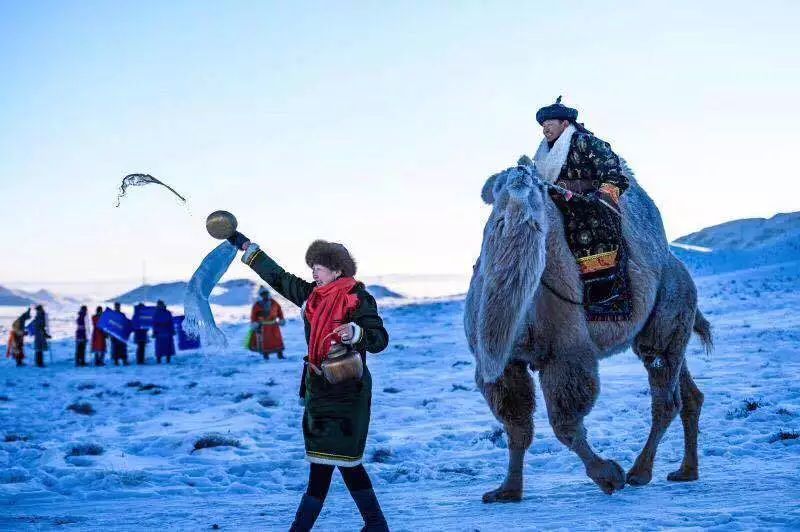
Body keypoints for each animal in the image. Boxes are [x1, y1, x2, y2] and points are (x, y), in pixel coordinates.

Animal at [462, 160, 712, 500]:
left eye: (538, 193)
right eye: (497, 212)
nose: (522, 174)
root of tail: (679, 267)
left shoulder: (566, 354)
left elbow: (565, 425)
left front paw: (609, 476)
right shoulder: (504, 365)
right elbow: (517, 426)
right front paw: (507, 491)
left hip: (669, 306)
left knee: (665, 396)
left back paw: (639, 472)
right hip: (672, 329)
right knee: (687, 391)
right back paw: (686, 471)